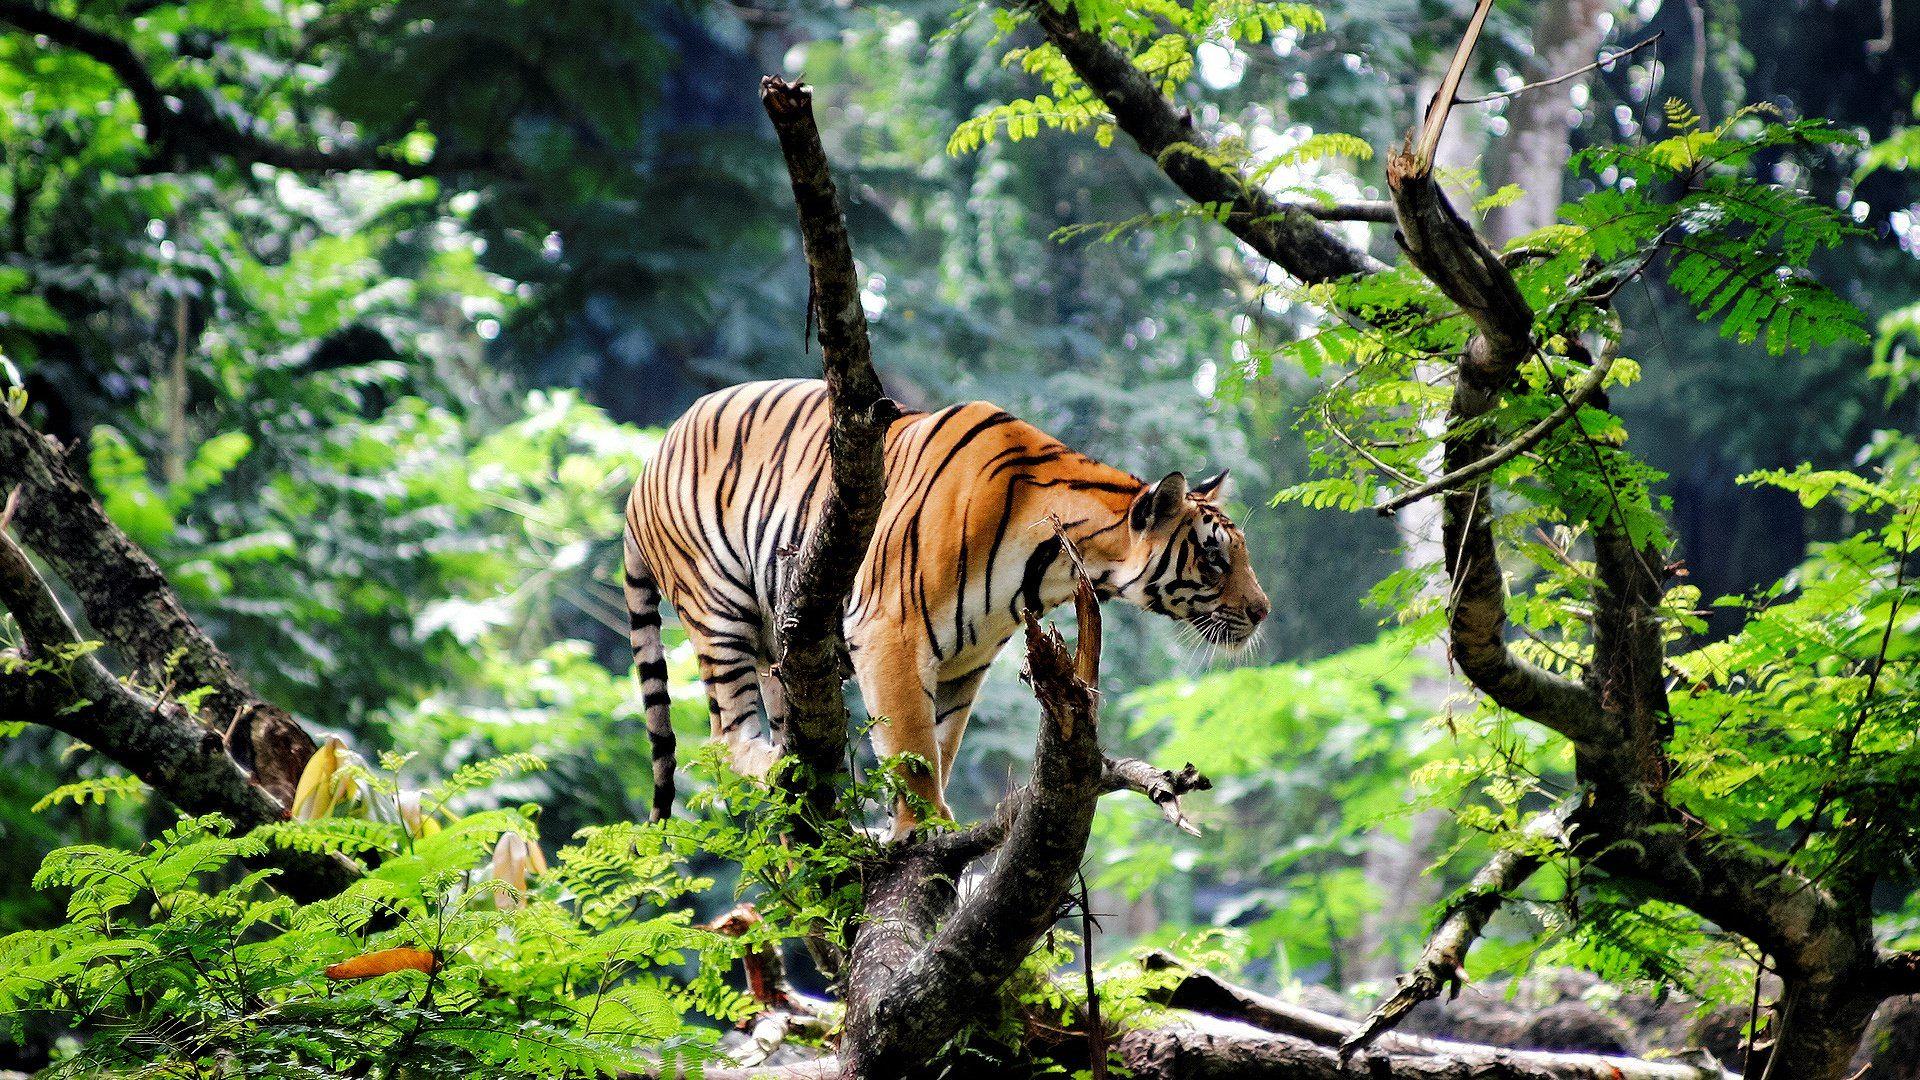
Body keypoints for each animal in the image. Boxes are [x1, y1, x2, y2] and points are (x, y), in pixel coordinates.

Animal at [623, 378, 1268, 835]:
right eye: (1215, 558)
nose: (1263, 611)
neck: (1054, 567)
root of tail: (645, 465)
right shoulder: (891, 631)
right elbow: (911, 746)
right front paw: (923, 828)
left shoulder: (965, 661)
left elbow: (941, 743)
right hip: (718, 609)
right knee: (724, 738)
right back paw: (782, 769)